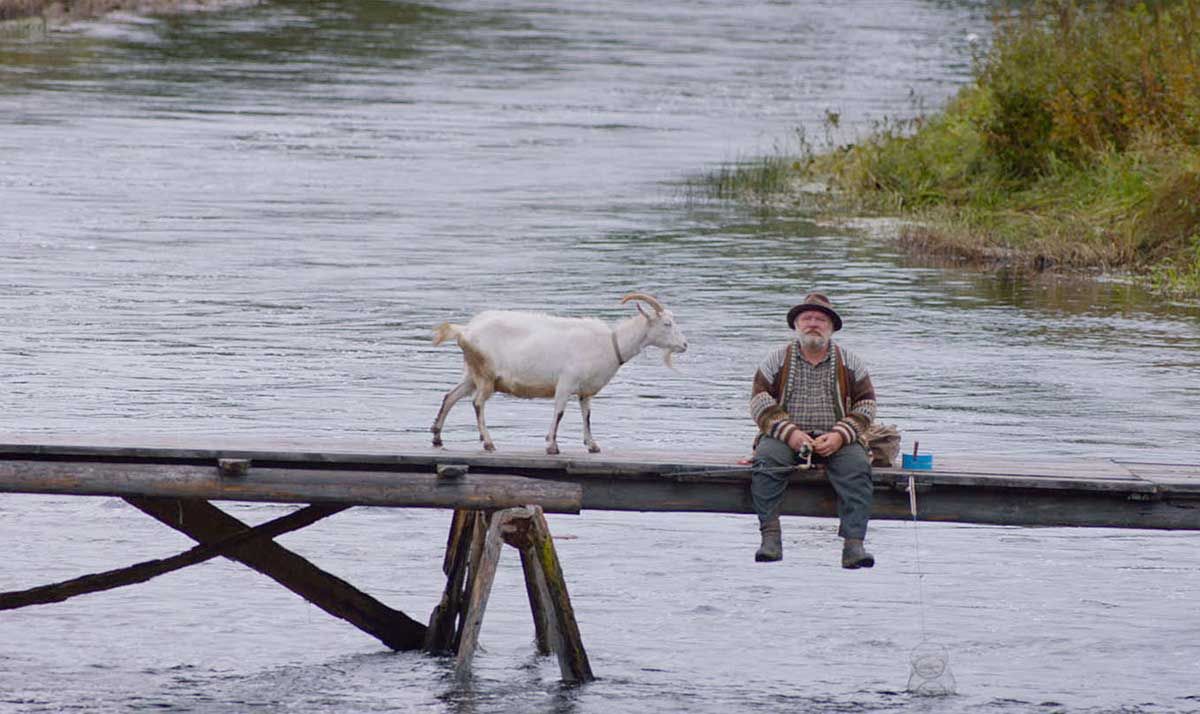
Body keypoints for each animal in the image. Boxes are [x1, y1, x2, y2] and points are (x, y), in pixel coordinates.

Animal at [432, 292, 686, 456]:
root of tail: (465, 330)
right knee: (477, 402)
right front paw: (552, 446)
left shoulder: (586, 391)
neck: (611, 344)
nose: (684, 345)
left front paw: (592, 445)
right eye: (666, 324)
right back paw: (488, 443)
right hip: (486, 374)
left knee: (450, 396)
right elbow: (560, 412)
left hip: (472, 373)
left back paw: (437, 436)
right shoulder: (566, 383)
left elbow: (587, 415)